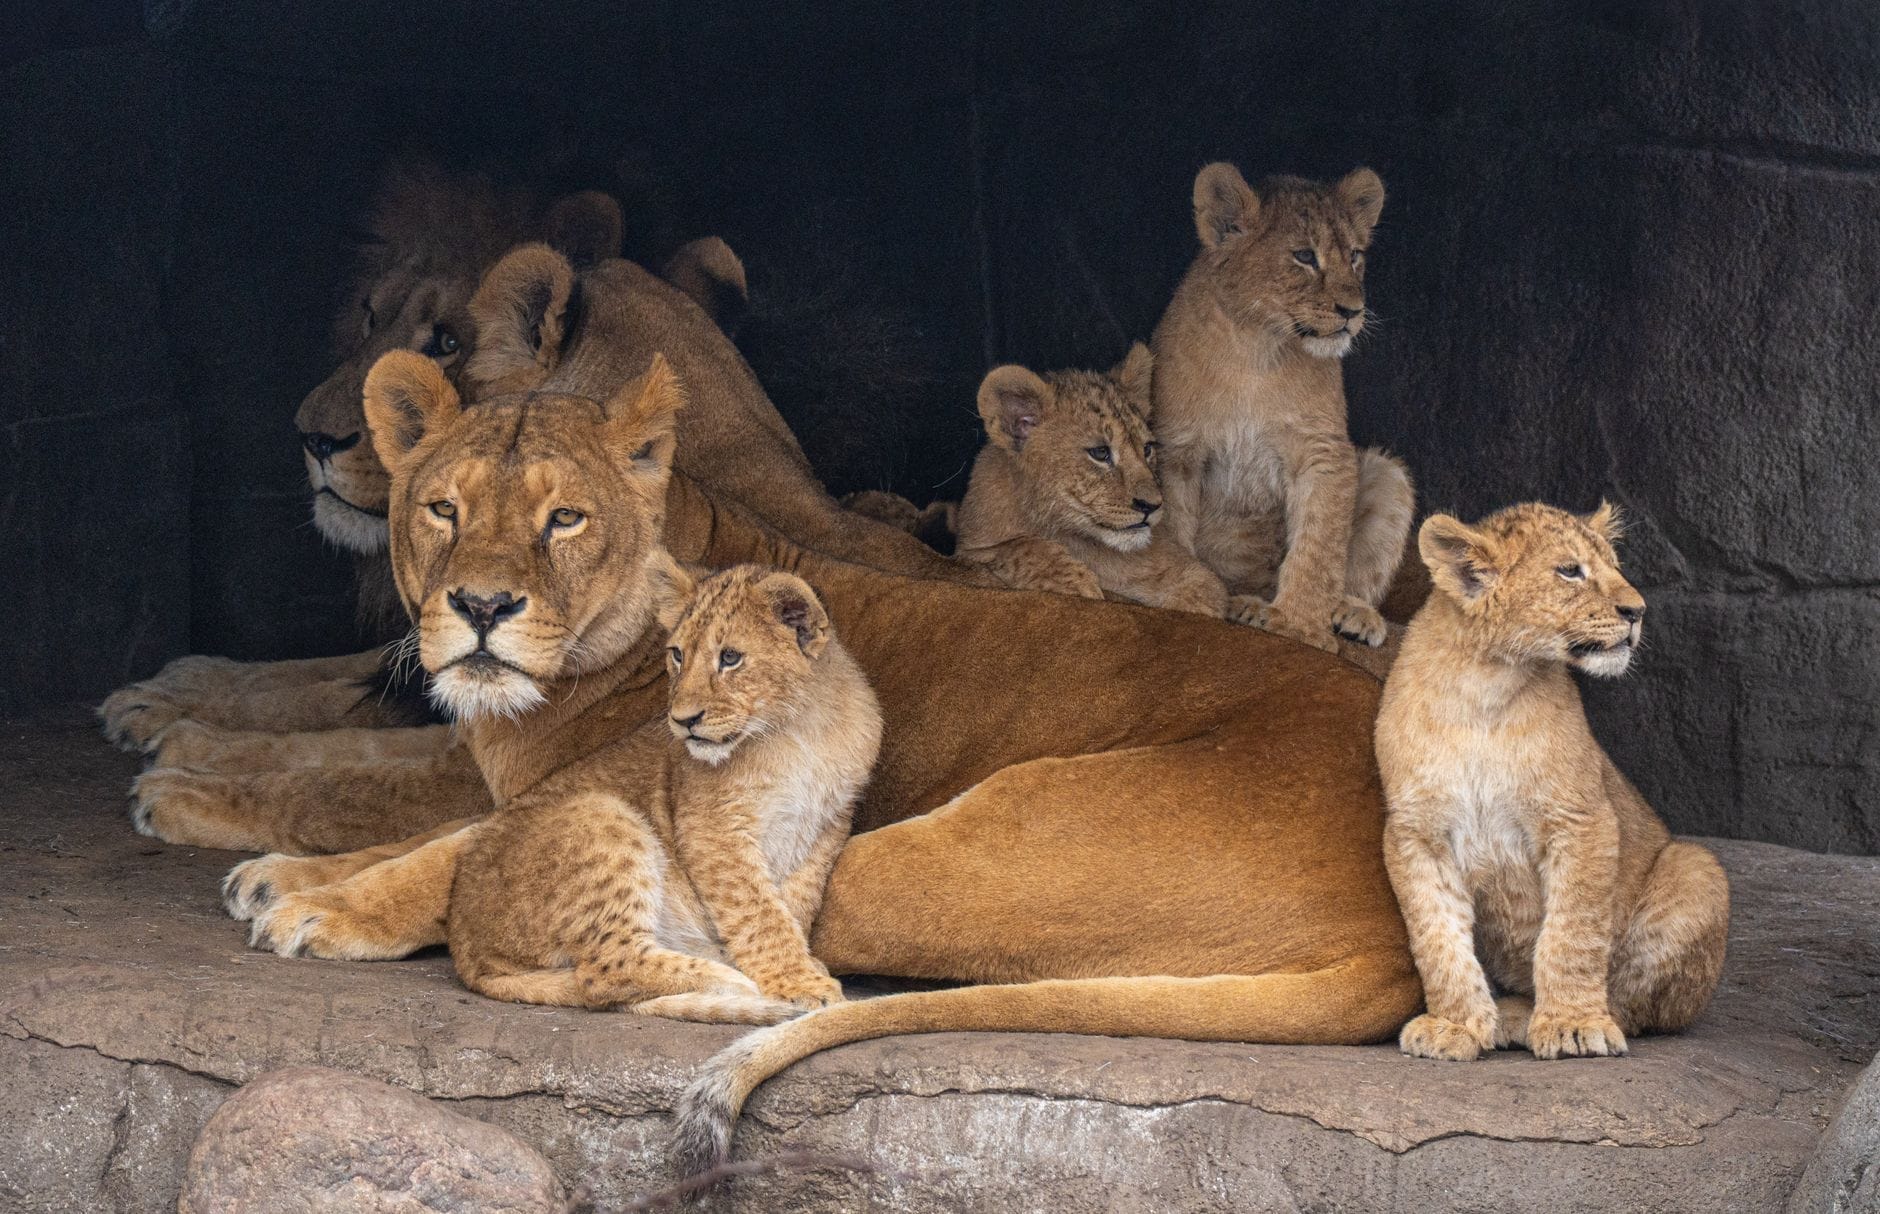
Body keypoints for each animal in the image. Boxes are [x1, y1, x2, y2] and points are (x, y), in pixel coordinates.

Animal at [954, 343, 1227, 615]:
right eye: (1100, 453)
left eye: (1147, 448)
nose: (1152, 505)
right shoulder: (966, 550)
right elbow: (1013, 546)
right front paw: (1077, 584)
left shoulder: (1195, 574)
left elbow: (1198, 599)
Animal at [1152, 161, 1418, 653]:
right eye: (1305, 256)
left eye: (1355, 255)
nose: (1353, 311)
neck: (1256, 349)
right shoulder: (1175, 450)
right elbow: (1173, 531)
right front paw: (1186, 601)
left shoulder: (1323, 452)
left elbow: (1318, 546)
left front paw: (1300, 627)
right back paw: (1244, 605)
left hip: (1387, 473)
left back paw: (1349, 613)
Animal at [1376, 502, 1728, 1062]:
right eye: (1569, 571)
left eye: (1615, 565)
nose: (1638, 611)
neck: (1486, 685)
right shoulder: (1416, 833)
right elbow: (1436, 936)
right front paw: (1454, 1025)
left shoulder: (1581, 819)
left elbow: (1572, 932)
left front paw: (1572, 1024)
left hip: (1697, 867)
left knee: (1637, 1006)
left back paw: (1531, 1017)